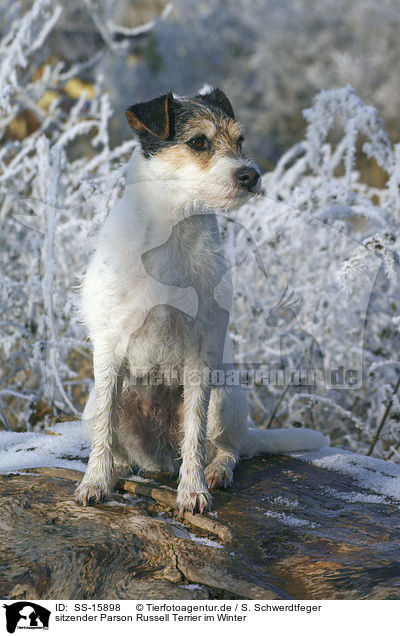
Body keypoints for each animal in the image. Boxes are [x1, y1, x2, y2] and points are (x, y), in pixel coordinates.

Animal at [75, 88, 324, 512]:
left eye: (240, 140)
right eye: (197, 142)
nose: (250, 176)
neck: (174, 229)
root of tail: (159, 458)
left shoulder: (202, 351)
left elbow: (194, 430)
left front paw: (192, 491)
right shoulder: (109, 346)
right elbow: (105, 433)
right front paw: (95, 481)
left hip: (224, 397)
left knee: (227, 448)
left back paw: (216, 471)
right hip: (93, 405)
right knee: (113, 439)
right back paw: (119, 469)